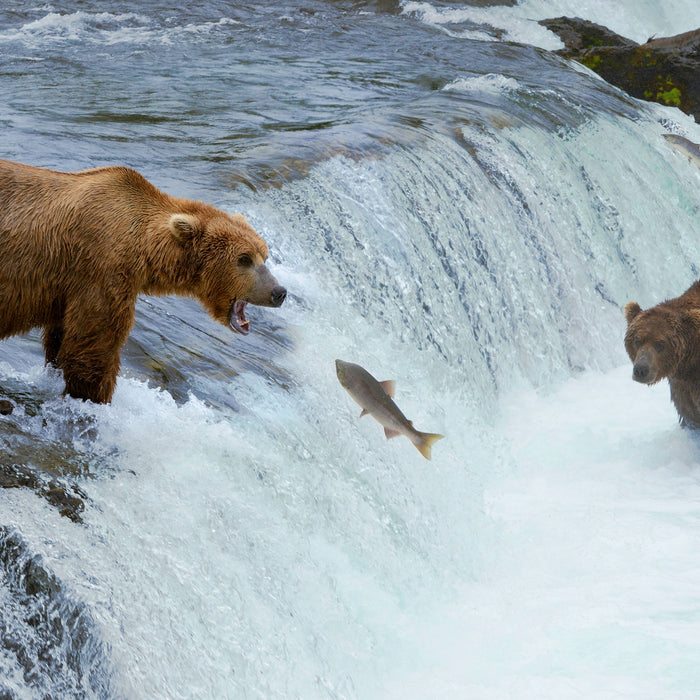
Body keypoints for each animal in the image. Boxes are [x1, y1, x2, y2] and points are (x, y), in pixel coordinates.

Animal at [0, 156, 288, 402]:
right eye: (244, 259)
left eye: (265, 255)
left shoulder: (68, 287)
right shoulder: (102, 269)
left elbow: (61, 338)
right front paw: (94, 397)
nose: (279, 292)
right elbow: (94, 345)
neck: (145, 248)